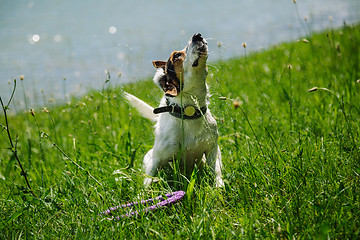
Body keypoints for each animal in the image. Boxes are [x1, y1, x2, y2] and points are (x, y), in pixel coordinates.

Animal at [125, 33, 224, 188]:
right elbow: (148, 181)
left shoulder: (212, 150)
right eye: (176, 55)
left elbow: (217, 173)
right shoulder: (157, 160)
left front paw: (219, 188)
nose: (197, 35)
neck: (188, 112)